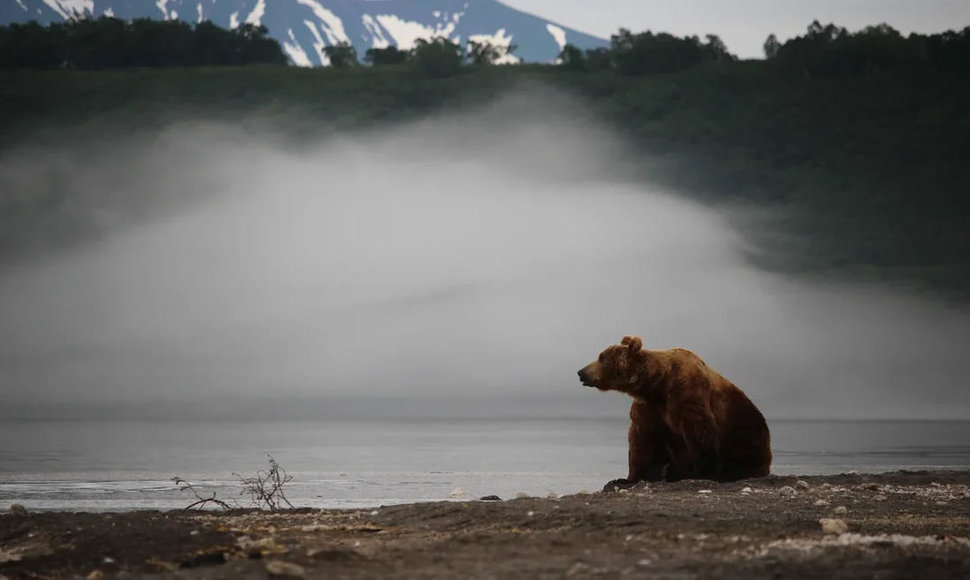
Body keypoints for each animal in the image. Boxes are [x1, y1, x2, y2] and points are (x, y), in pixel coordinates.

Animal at [576, 336, 772, 490]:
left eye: (601, 357)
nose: (581, 372)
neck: (658, 385)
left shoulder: (688, 394)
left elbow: (700, 432)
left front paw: (702, 473)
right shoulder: (649, 409)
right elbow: (642, 442)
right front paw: (625, 479)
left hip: (746, 432)